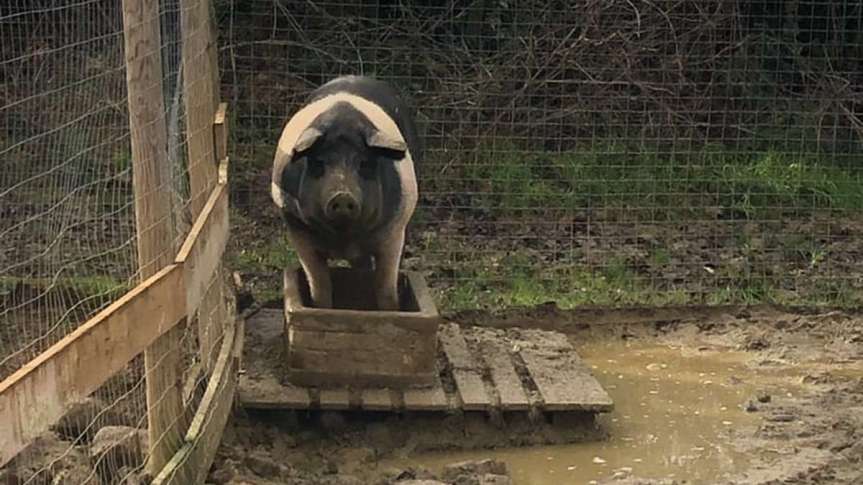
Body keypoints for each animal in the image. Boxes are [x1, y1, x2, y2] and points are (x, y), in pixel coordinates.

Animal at [270, 75, 421, 311]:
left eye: (365, 164)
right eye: (319, 163)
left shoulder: (393, 231)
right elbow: (319, 286)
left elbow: (386, 288)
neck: (344, 237)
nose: (342, 195)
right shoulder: (299, 233)